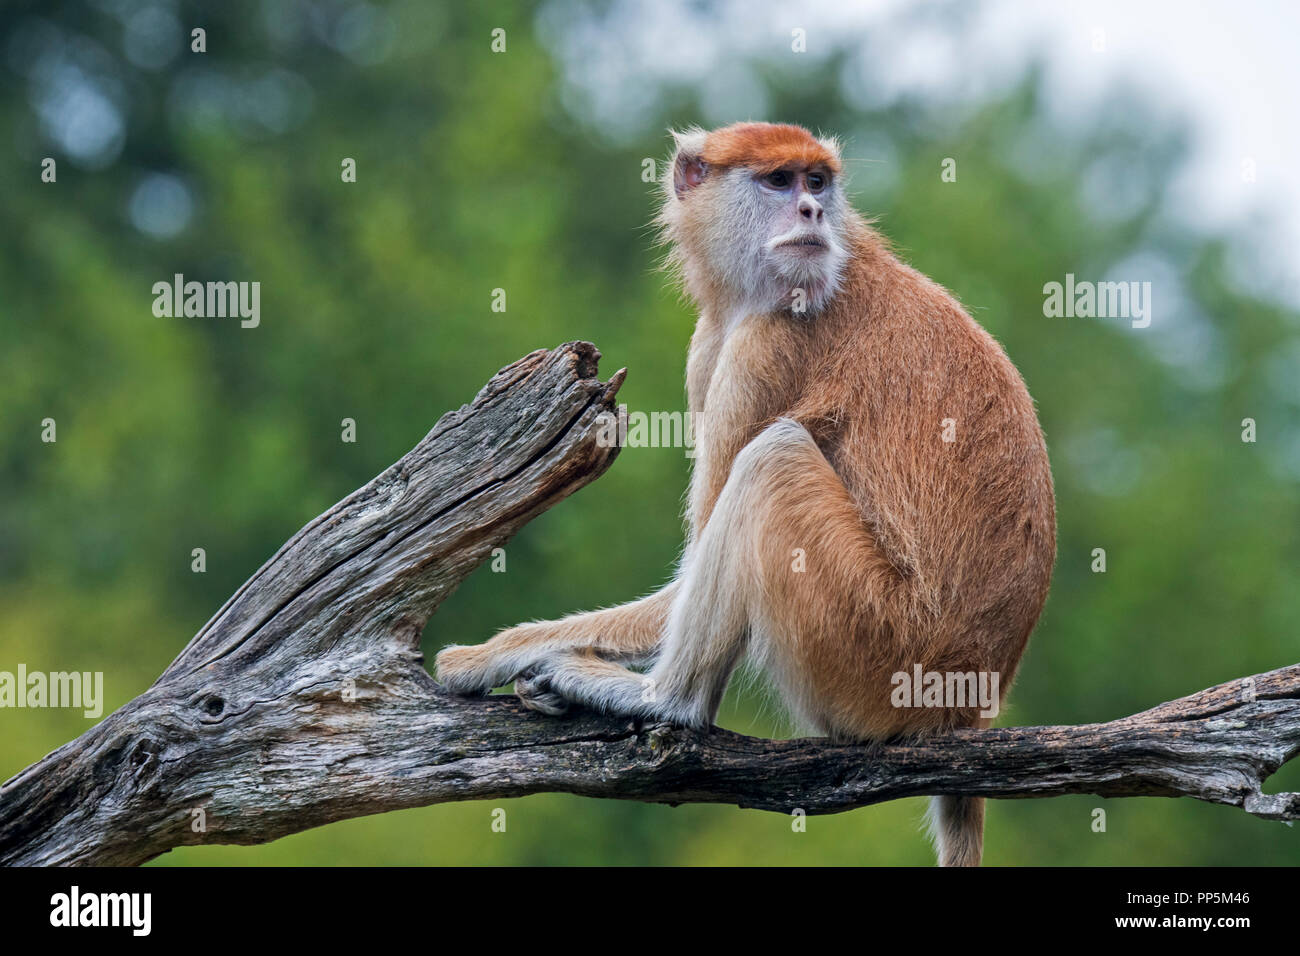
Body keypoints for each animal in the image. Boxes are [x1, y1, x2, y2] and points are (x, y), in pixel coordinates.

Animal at [439, 121, 1055, 868]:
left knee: (772, 459)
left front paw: (485, 657)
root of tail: (970, 702)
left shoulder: (766, 348)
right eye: (780, 181)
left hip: (876, 646)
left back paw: (665, 699)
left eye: (817, 182)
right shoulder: (713, 345)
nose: (812, 212)